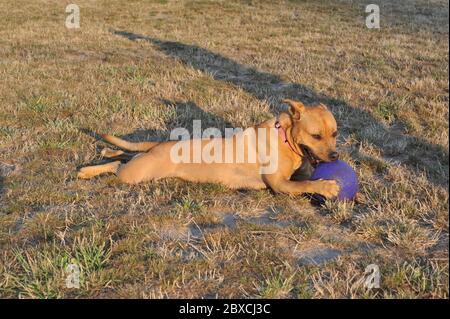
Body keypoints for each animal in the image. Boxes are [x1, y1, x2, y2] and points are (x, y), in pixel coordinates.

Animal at [79, 100, 342, 200]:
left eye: (335, 133)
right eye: (316, 136)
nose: (335, 156)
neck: (285, 137)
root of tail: (161, 144)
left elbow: (305, 178)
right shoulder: (280, 184)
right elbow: (305, 184)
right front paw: (327, 186)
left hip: (143, 160)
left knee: (127, 153)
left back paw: (107, 152)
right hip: (137, 174)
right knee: (118, 166)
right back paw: (88, 171)